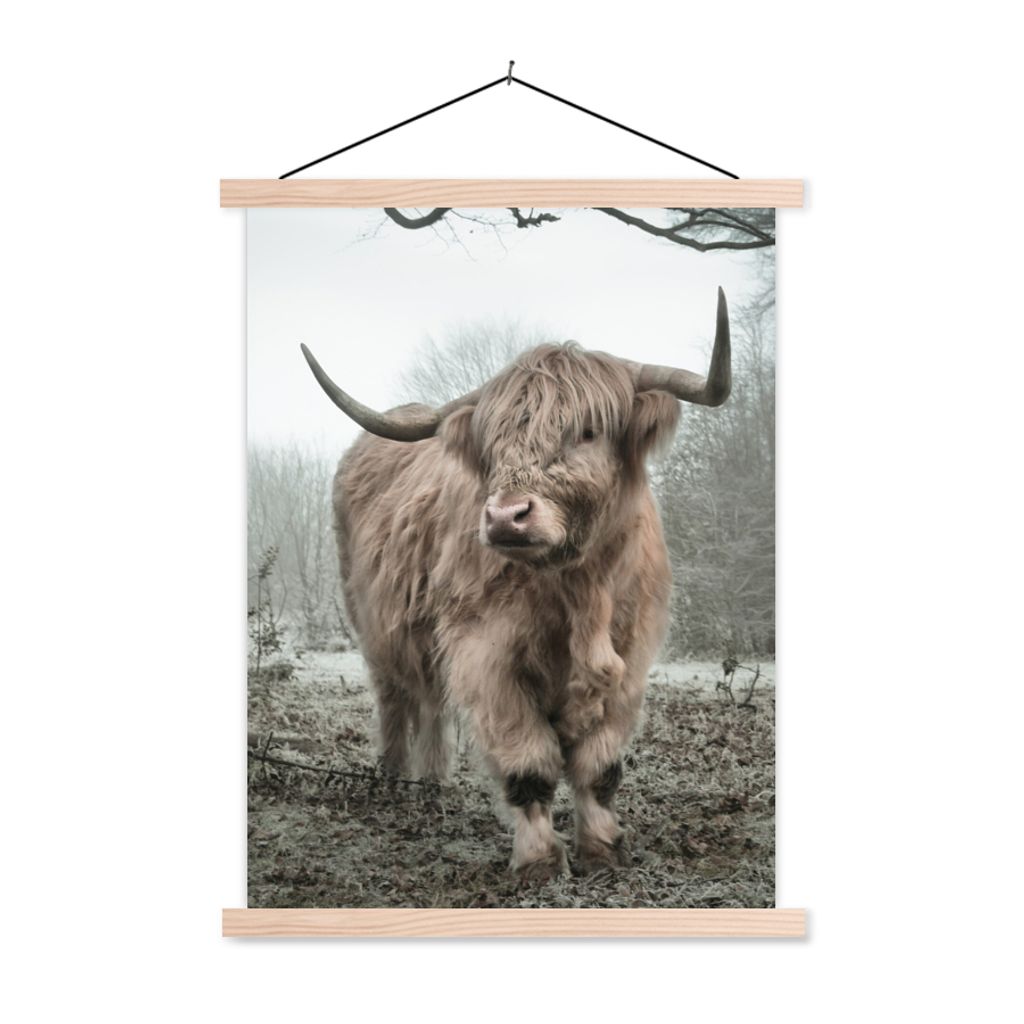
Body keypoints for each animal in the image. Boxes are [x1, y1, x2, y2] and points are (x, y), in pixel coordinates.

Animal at [300, 289, 731, 881]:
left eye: (588, 431)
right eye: (494, 442)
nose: (506, 517)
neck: (578, 591)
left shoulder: (631, 657)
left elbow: (600, 768)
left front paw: (603, 850)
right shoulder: (487, 656)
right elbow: (529, 765)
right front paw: (540, 863)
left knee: (431, 702)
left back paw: (431, 784)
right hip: (374, 626)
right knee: (396, 699)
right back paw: (393, 780)